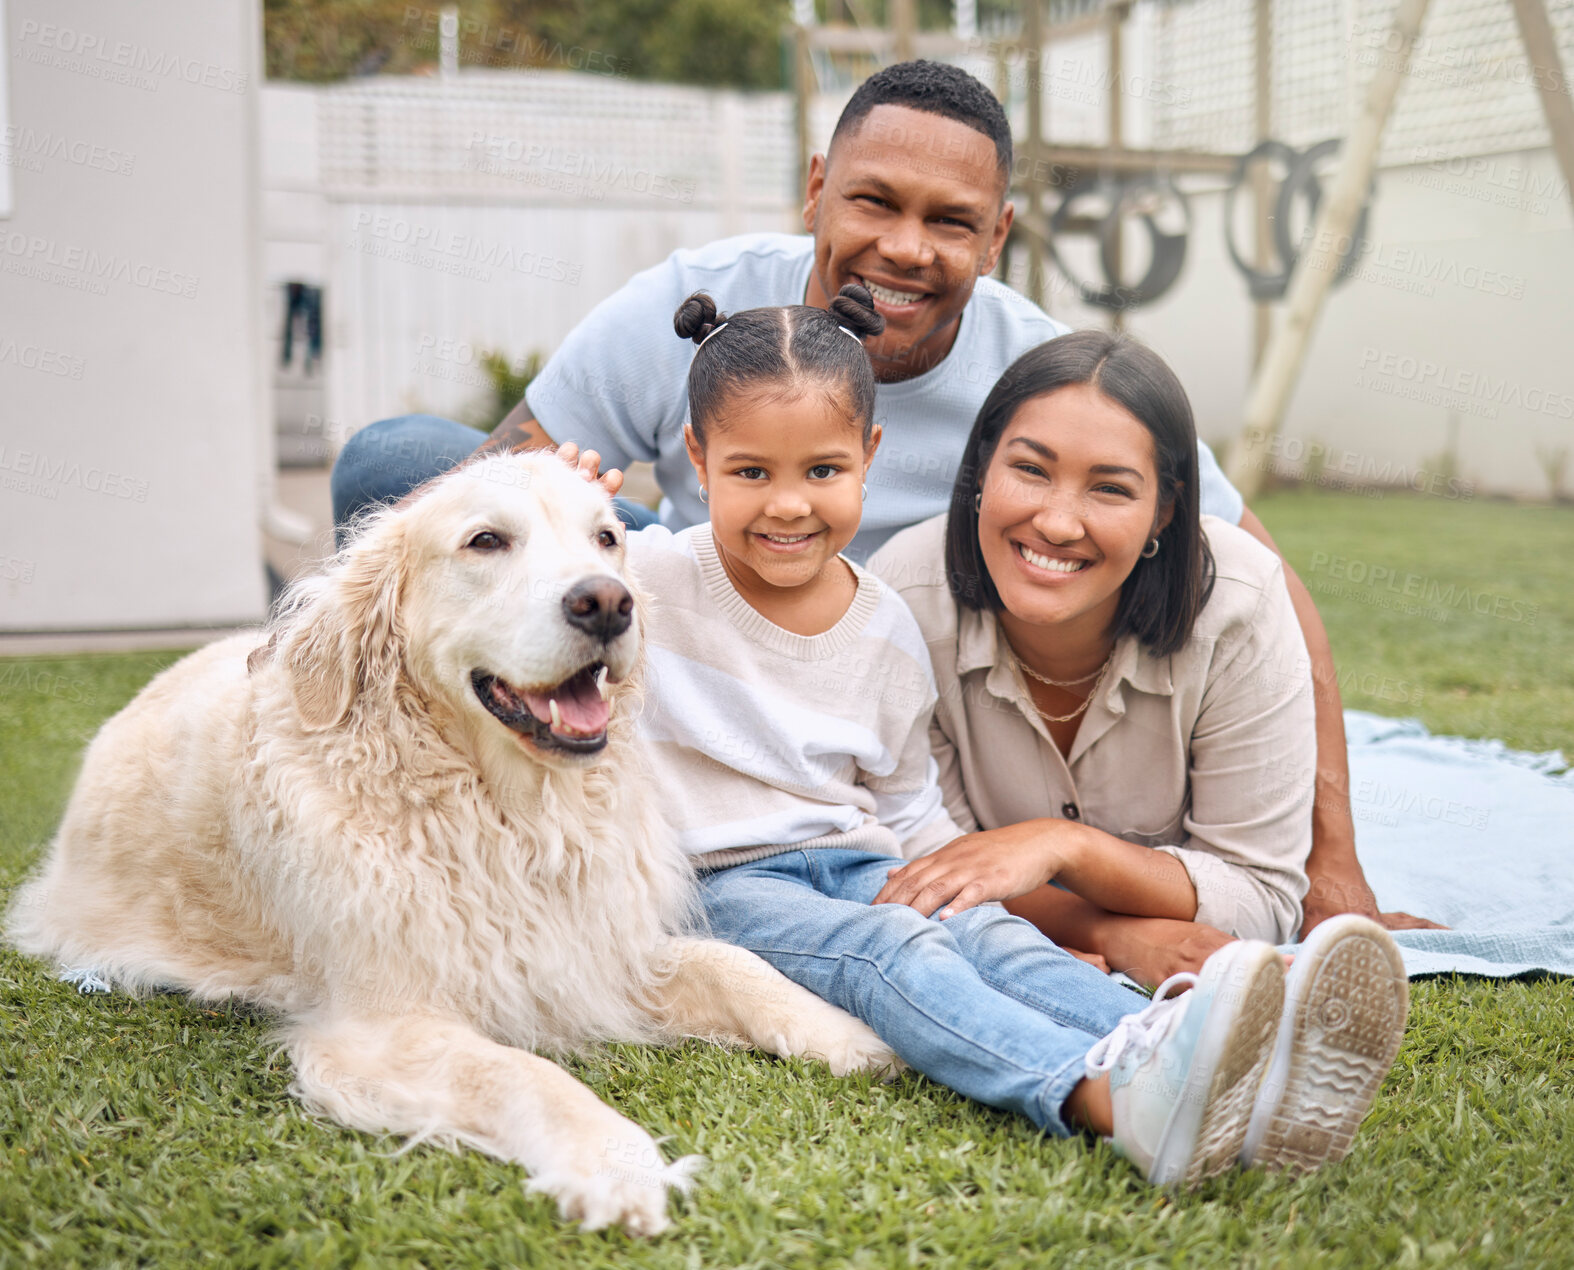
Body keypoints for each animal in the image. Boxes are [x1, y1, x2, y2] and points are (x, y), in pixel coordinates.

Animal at [6, 453, 900, 1233]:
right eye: (486, 541)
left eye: (606, 539)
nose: (609, 603)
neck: (509, 813)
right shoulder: (379, 1025)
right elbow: (521, 1072)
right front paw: (615, 1162)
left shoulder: (600, 947)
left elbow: (734, 965)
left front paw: (857, 1036)